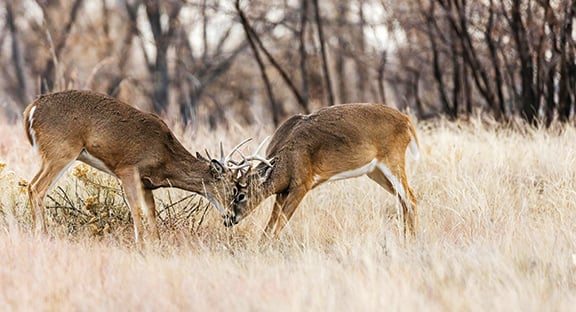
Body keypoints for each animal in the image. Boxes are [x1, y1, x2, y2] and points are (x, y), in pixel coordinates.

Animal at [23, 89, 244, 243]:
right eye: (234, 190)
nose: (231, 218)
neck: (165, 156)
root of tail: (31, 109)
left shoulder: (146, 183)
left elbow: (150, 211)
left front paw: (156, 242)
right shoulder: (127, 169)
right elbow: (135, 208)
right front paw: (140, 243)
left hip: (53, 156)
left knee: (32, 186)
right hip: (61, 152)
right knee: (36, 188)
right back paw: (42, 234)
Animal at [225, 104, 418, 239]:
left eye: (240, 195)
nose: (228, 219)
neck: (286, 158)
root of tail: (406, 120)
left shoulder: (302, 184)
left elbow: (281, 222)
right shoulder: (283, 190)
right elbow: (271, 222)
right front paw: (261, 244)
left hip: (393, 159)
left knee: (411, 198)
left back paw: (410, 241)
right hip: (375, 171)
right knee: (403, 200)